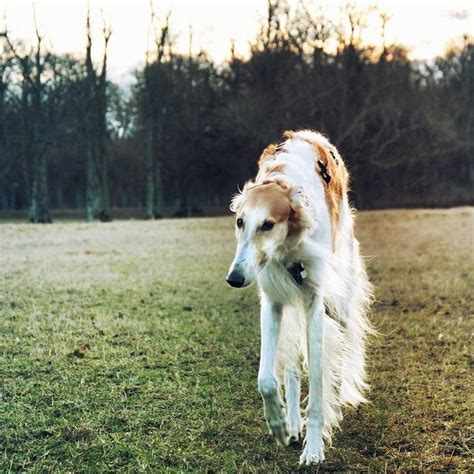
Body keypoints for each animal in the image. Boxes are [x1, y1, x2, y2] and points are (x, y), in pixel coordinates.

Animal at [226, 130, 374, 466]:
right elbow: (266, 379)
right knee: (292, 369)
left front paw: (314, 449)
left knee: (344, 346)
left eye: (267, 224)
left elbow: (318, 384)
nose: (234, 279)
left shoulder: (315, 303)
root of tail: (310, 134)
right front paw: (278, 424)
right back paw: (292, 423)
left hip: (339, 296)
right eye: (240, 222)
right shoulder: (272, 301)